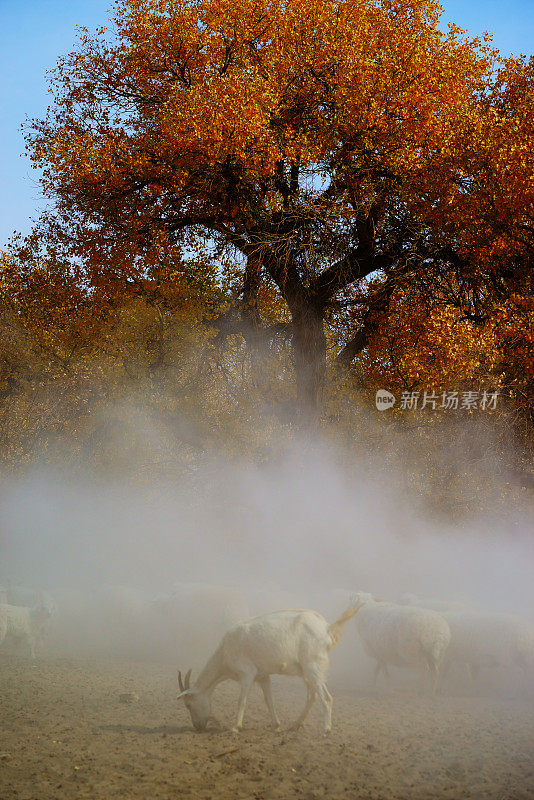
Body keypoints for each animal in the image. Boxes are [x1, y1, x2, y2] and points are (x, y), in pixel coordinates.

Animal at [178, 608, 358, 736]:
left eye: (188, 704)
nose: (198, 727)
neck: (224, 653)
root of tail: (327, 628)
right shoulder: (262, 676)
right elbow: (269, 700)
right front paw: (276, 726)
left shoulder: (247, 673)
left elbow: (241, 701)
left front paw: (235, 728)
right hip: (309, 670)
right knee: (312, 696)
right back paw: (295, 725)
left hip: (312, 666)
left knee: (326, 697)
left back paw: (326, 730)